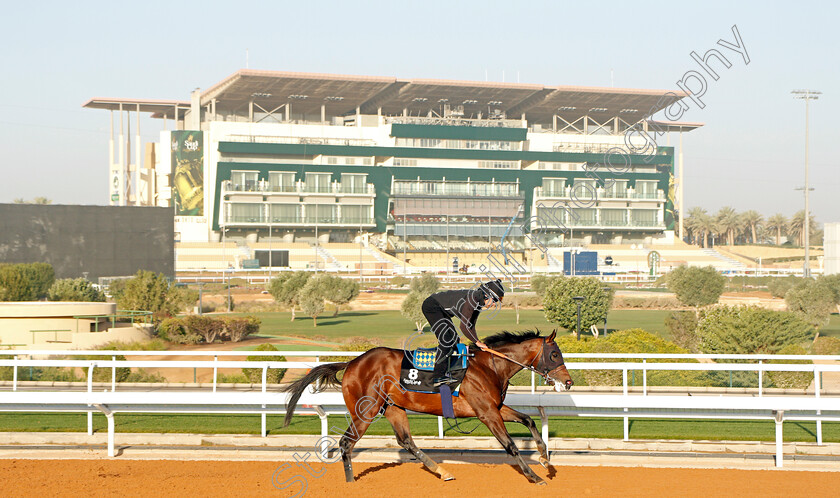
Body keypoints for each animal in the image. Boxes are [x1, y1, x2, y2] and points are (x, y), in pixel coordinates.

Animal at [282, 328, 572, 484]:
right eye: (554, 354)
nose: (568, 382)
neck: (490, 366)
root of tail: (352, 362)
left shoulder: (495, 408)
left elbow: (529, 420)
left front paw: (545, 459)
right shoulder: (487, 413)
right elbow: (510, 446)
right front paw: (534, 476)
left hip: (393, 407)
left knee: (406, 441)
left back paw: (441, 471)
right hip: (366, 410)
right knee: (346, 443)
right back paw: (350, 482)